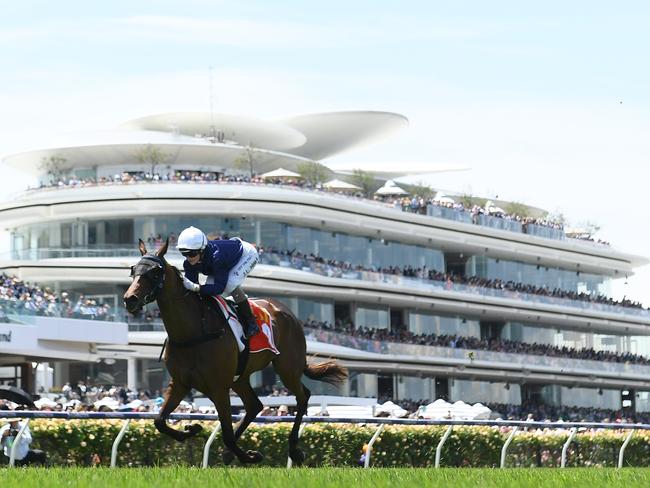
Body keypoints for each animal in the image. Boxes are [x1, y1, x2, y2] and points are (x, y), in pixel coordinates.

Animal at [119, 239, 346, 466]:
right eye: (133, 270)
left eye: (155, 272)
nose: (130, 299)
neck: (192, 332)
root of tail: (286, 311)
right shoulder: (180, 383)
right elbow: (159, 421)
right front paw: (192, 429)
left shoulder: (219, 388)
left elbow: (227, 434)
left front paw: (251, 456)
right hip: (240, 377)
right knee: (255, 405)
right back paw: (230, 452)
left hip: (287, 367)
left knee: (302, 397)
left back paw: (294, 450)